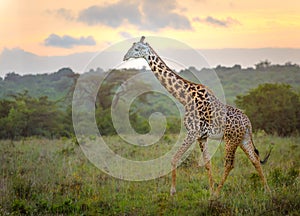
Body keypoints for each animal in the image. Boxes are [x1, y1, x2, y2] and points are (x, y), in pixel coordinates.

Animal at [122, 36, 272, 197]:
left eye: (137, 48)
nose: (125, 57)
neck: (185, 97)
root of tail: (248, 123)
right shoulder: (202, 136)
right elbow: (207, 163)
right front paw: (210, 190)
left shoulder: (193, 132)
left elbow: (174, 158)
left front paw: (173, 191)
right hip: (243, 139)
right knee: (255, 159)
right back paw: (267, 190)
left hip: (231, 140)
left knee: (229, 164)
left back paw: (218, 193)